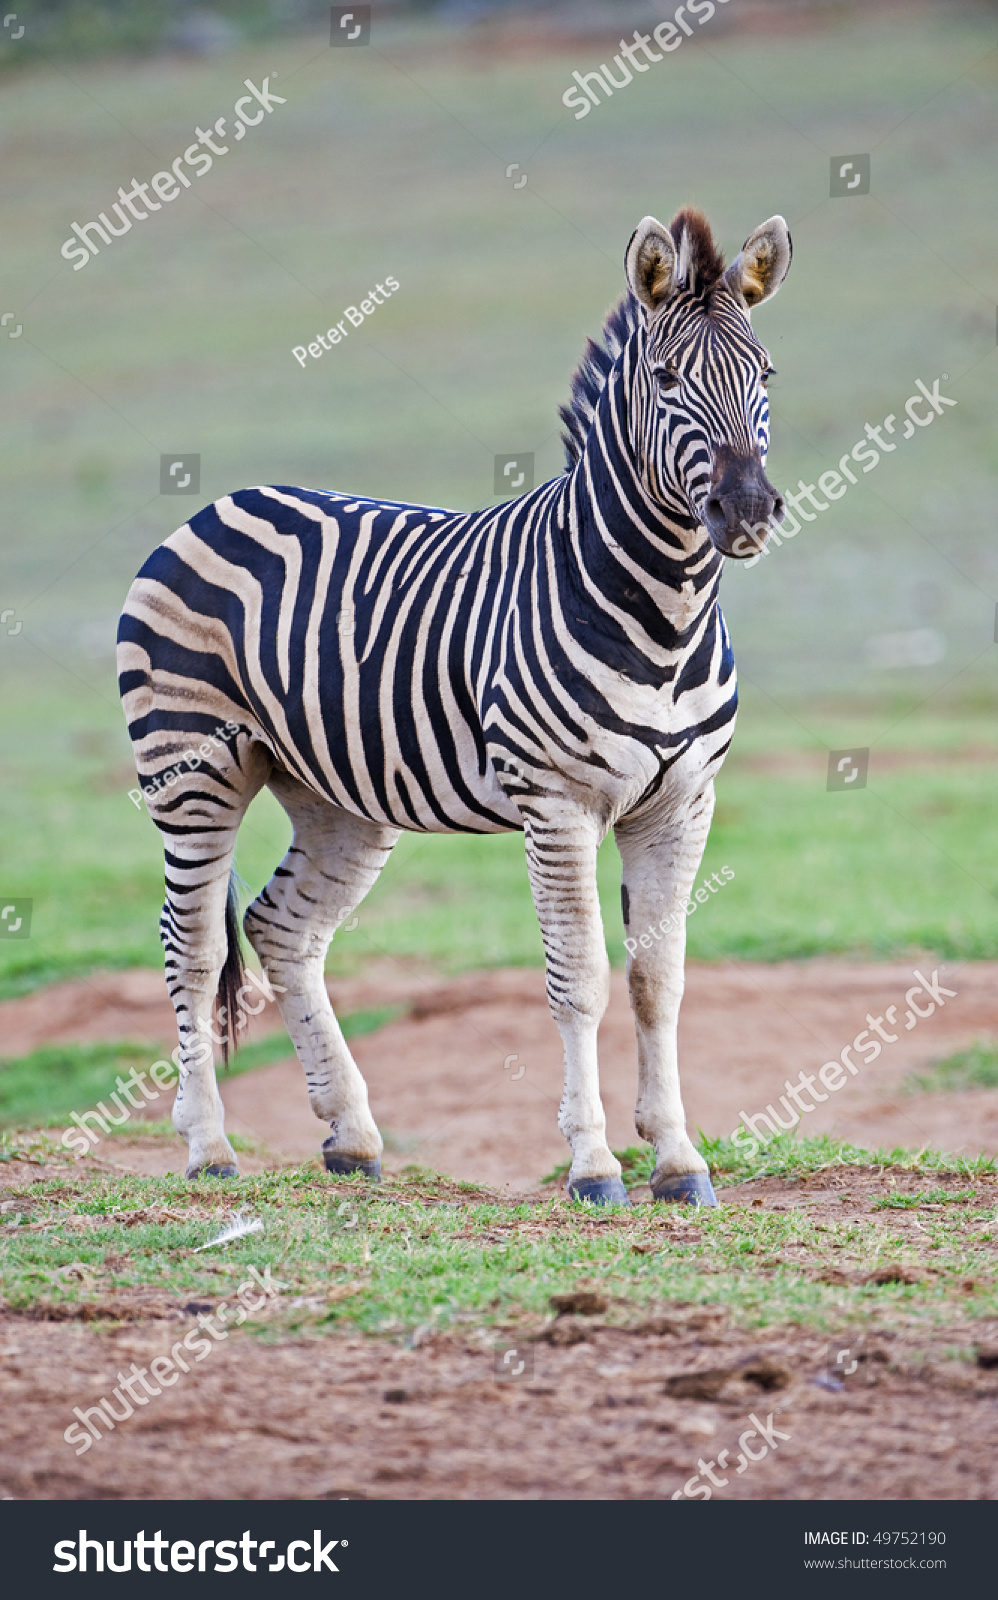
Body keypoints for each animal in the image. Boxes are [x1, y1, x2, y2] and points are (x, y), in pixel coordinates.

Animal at [115, 212, 786, 1203]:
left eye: (766, 374)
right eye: (666, 380)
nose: (746, 513)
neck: (663, 613)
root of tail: (220, 503)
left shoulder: (682, 803)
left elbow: (658, 982)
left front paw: (677, 1159)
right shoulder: (559, 803)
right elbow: (580, 980)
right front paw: (593, 1165)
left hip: (336, 795)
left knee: (282, 929)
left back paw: (352, 1137)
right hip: (191, 769)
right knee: (192, 950)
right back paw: (210, 1148)